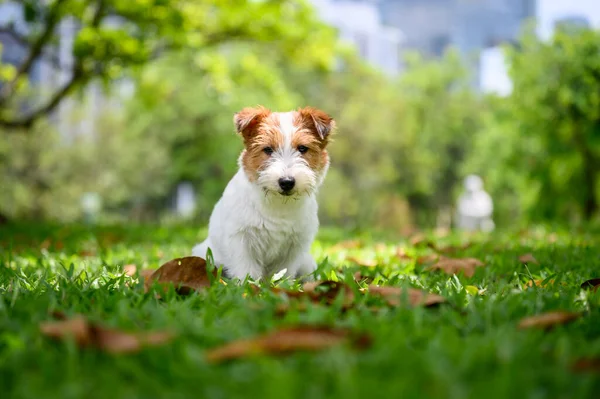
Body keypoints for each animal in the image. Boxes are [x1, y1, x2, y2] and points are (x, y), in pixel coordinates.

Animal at [191, 106, 336, 282]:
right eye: (268, 149)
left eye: (302, 148)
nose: (286, 182)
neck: (278, 203)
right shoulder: (241, 240)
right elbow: (246, 270)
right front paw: (248, 285)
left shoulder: (294, 246)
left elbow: (284, 272)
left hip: (307, 262)